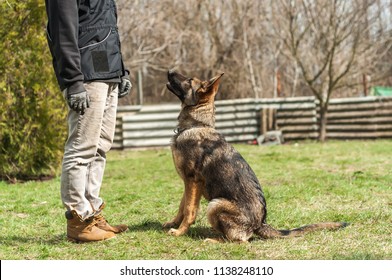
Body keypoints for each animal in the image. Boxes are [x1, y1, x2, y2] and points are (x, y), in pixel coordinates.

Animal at [164, 69, 348, 242]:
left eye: (189, 81)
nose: (170, 70)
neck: (196, 125)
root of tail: (260, 224)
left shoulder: (193, 181)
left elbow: (189, 210)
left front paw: (180, 232)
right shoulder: (188, 183)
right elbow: (182, 206)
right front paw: (173, 223)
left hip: (215, 204)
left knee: (240, 240)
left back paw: (213, 240)